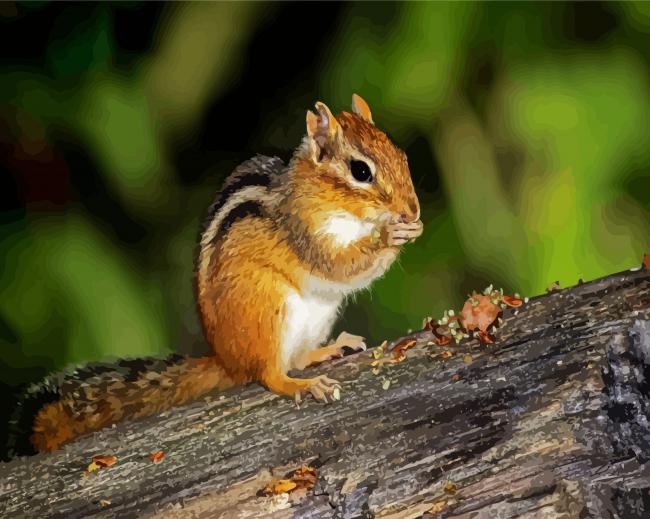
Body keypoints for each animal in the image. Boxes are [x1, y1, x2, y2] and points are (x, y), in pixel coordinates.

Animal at [5, 94, 423, 457]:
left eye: (403, 155)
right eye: (361, 171)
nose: (413, 209)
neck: (324, 198)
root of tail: (225, 359)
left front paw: (410, 228)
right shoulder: (306, 234)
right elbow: (341, 265)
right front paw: (391, 236)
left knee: (297, 357)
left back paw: (329, 349)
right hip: (267, 307)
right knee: (270, 373)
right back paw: (302, 385)